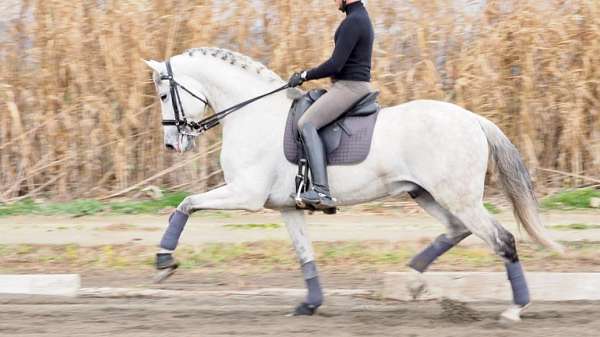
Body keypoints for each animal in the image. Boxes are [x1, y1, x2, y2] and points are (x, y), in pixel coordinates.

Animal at [144, 46, 564, 320]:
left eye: (164, 94)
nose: (172, 144)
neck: (252, 113)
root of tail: (473, 119)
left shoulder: (245, 195)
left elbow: (186, 204)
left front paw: (164, 261)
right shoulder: (286, 206)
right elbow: (305, 254)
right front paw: (310, 303)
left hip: (457, 196)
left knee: (501, 240)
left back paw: (515, 308)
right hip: (426, 193)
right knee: (456, 230)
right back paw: (411, 280)